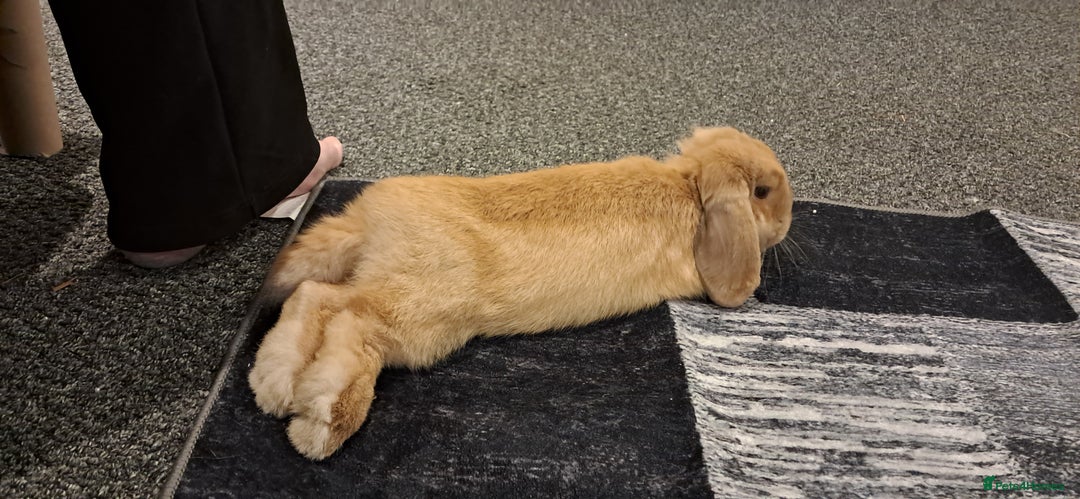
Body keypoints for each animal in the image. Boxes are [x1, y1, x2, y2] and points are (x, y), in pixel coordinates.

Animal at [249, 126, 794, 460]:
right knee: (345, 317)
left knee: (312, 296)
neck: (688, 188)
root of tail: (371, 223)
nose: (787, 223)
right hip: (420, 317)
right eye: (763, 192)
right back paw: (321, 422)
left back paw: (274, 385)